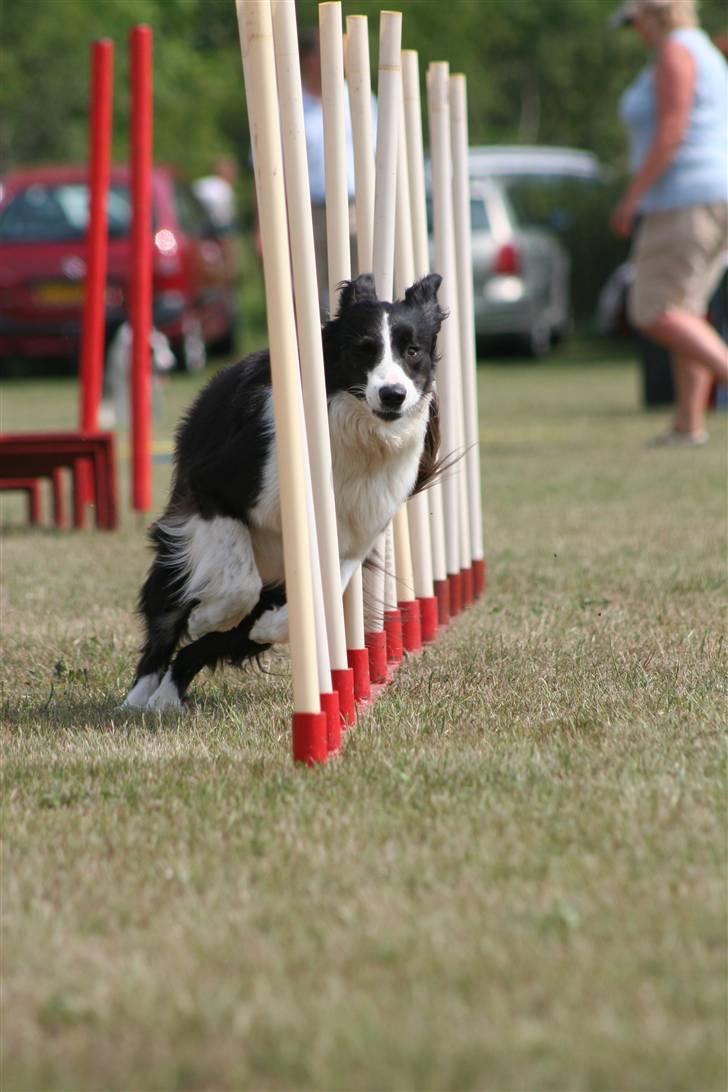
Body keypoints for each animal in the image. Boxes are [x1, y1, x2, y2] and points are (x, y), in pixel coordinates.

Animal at [123, 273, 445, 711]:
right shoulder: (215, 488)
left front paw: (269, 625)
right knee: (167, 623)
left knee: (202, 648)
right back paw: (141, 695)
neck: (358, 435)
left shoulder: (353, 538)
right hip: (178, 553)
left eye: (412, 351)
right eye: (363, 350)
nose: (392, 395)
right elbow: (239, 586)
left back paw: (168, 696)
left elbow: (320, 597)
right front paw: (205, 616)